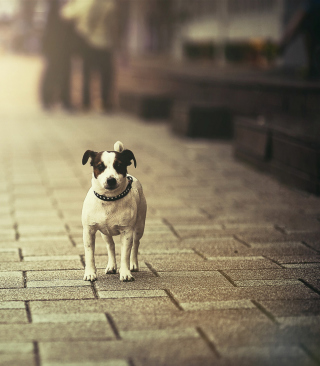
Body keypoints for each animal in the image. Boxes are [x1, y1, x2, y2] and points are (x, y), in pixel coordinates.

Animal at [81, 142, 146, 282]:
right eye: (100, 166)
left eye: (119, 165)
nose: (111, 180)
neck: (109, 199)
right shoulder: (89, 231)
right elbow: (89, 254)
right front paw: (90, 273)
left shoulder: (127, 232)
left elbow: (125, 254)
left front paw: (125, 273)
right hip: (104, 233)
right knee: (110, 245)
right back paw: (111, 266)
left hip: (140, 226)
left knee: (136, 244)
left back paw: (133, 264)